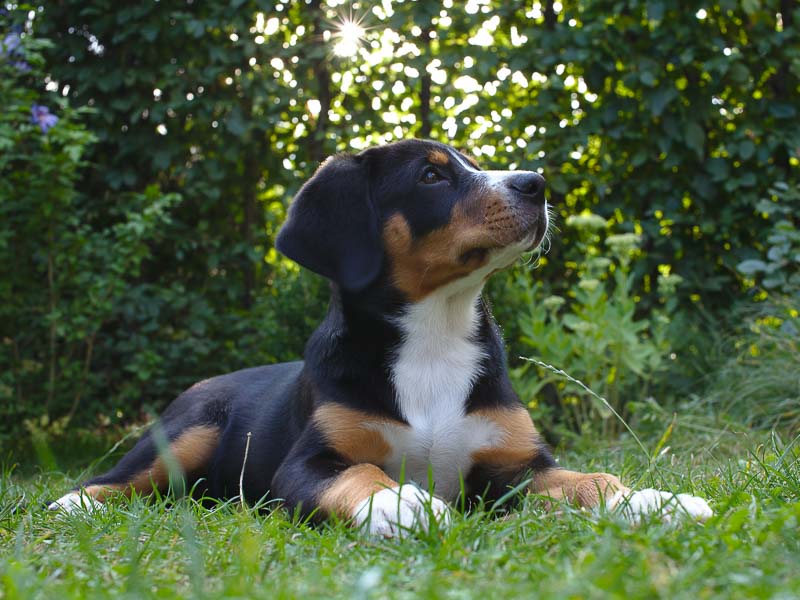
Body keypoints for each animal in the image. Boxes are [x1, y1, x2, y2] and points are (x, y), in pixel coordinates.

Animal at [50, 139, 712, 536]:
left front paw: (653, 501)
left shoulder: (517, 466)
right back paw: (71, 505)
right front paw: (403, 502)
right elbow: (361, 475)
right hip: (188, 430)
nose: (538, 183)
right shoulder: (310, 463)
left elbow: (587, 481)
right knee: (115, 480)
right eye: (431, 175)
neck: (435, 337)